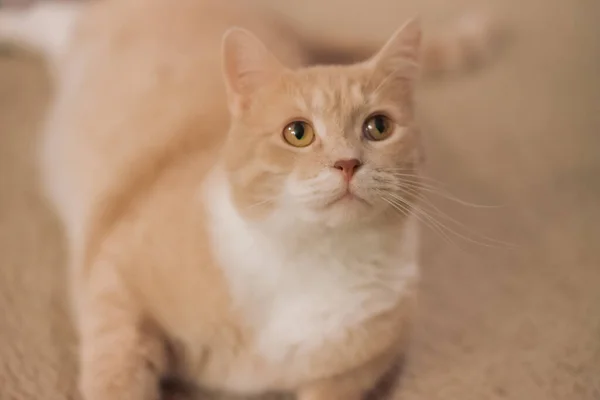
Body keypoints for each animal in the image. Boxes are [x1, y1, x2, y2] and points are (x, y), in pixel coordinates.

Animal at [0, 0, 506, 400]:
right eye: (298, 133)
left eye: (378, 127)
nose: (347, 163)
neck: (311, 259)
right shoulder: (116, 278)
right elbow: (116, 372)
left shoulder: (356, 371)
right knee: (48, 19)